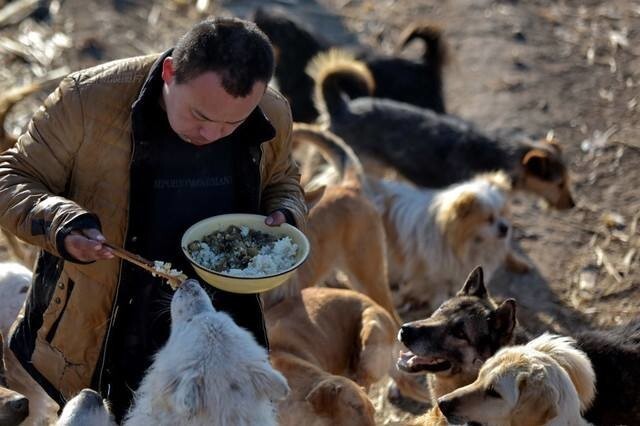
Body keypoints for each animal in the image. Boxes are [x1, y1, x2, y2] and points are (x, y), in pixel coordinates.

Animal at [308, 50, 576, 208]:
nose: (572, 204)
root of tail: (340, 106)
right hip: (358, 163)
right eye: (559, 184)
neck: (502, 157)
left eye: (567, 181)